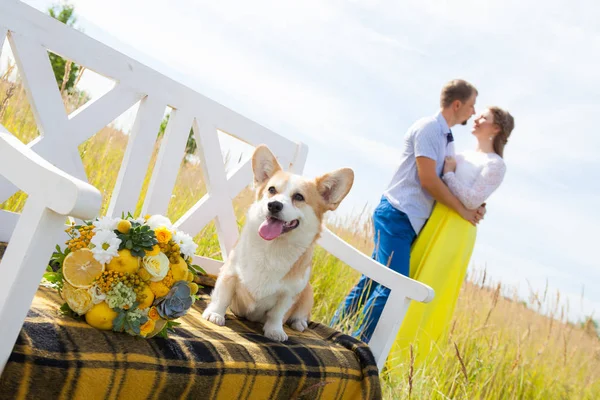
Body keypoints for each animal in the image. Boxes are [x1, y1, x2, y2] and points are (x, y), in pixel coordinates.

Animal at [202, 144, 354, 340]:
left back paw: (299, 323)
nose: (273, 205)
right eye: (272, 190)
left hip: (308, 293)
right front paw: (215, 314)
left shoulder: (288, 294)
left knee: (301, 315)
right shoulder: (229, 273)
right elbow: (222, 296)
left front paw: (274, 331)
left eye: (299, 197)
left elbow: (277, 314)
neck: (272, 247)